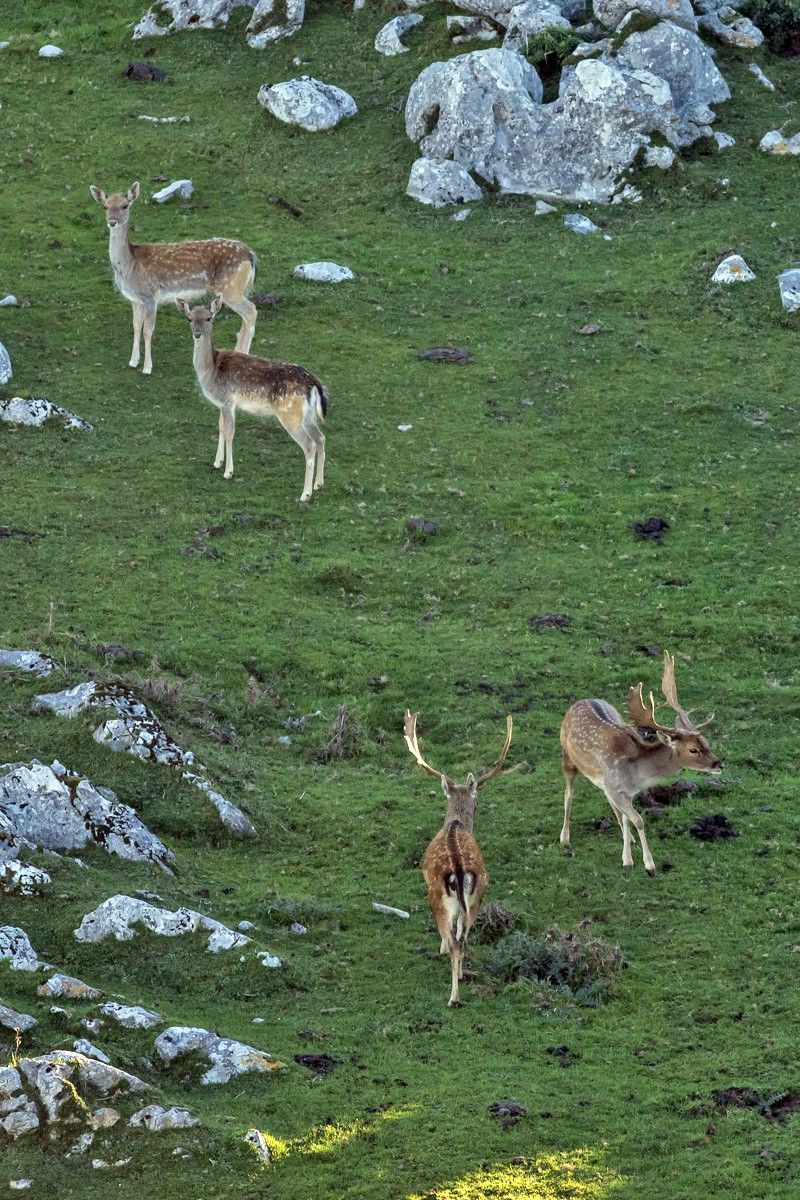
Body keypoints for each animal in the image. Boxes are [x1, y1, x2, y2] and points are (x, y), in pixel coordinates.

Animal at [89, 178, 256, 369]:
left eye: (125, 205)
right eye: (105, 206)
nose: (112, 222)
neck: (130, 266)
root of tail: (250, 256)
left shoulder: (151, 296)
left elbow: (148, 330)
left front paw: (147, 367)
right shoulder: (135, 299)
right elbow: (136, 326)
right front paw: (133, 361)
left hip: (230, 288)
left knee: (251, 312)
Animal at [173, 296, 326, 501]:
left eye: (208, 318)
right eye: (189, 318)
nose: (197, 334)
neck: (210, 370)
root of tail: (314, 383)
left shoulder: (227, 401)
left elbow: (229, 432)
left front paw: (228, 471)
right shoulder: (223, 403)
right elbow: (221, 428)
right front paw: (217, 462)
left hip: (290, 415)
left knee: (309, 445)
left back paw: (305, 494)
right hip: (308, 416)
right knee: (320, 438)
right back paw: (319, 484)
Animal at [402, 710, 522, 1003]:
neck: (455, 823)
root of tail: (458, 870)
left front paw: (442, 949)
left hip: (436, 896)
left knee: (456, 941)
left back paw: (453, 997)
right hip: (478, 895)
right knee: (464, 938)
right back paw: (461, 976)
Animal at [561, 652, 724, 878]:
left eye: (705, 742)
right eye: (693, 750)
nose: (719, 764)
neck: (636, 775)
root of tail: (578, 702)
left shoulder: (626, 792)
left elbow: (628, 818)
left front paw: (628, 854)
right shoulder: (616, 787)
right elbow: (639, 820)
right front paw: (646, 865)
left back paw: (627, 837)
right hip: (567, 756)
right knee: (568, 794)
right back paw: (565, 838)